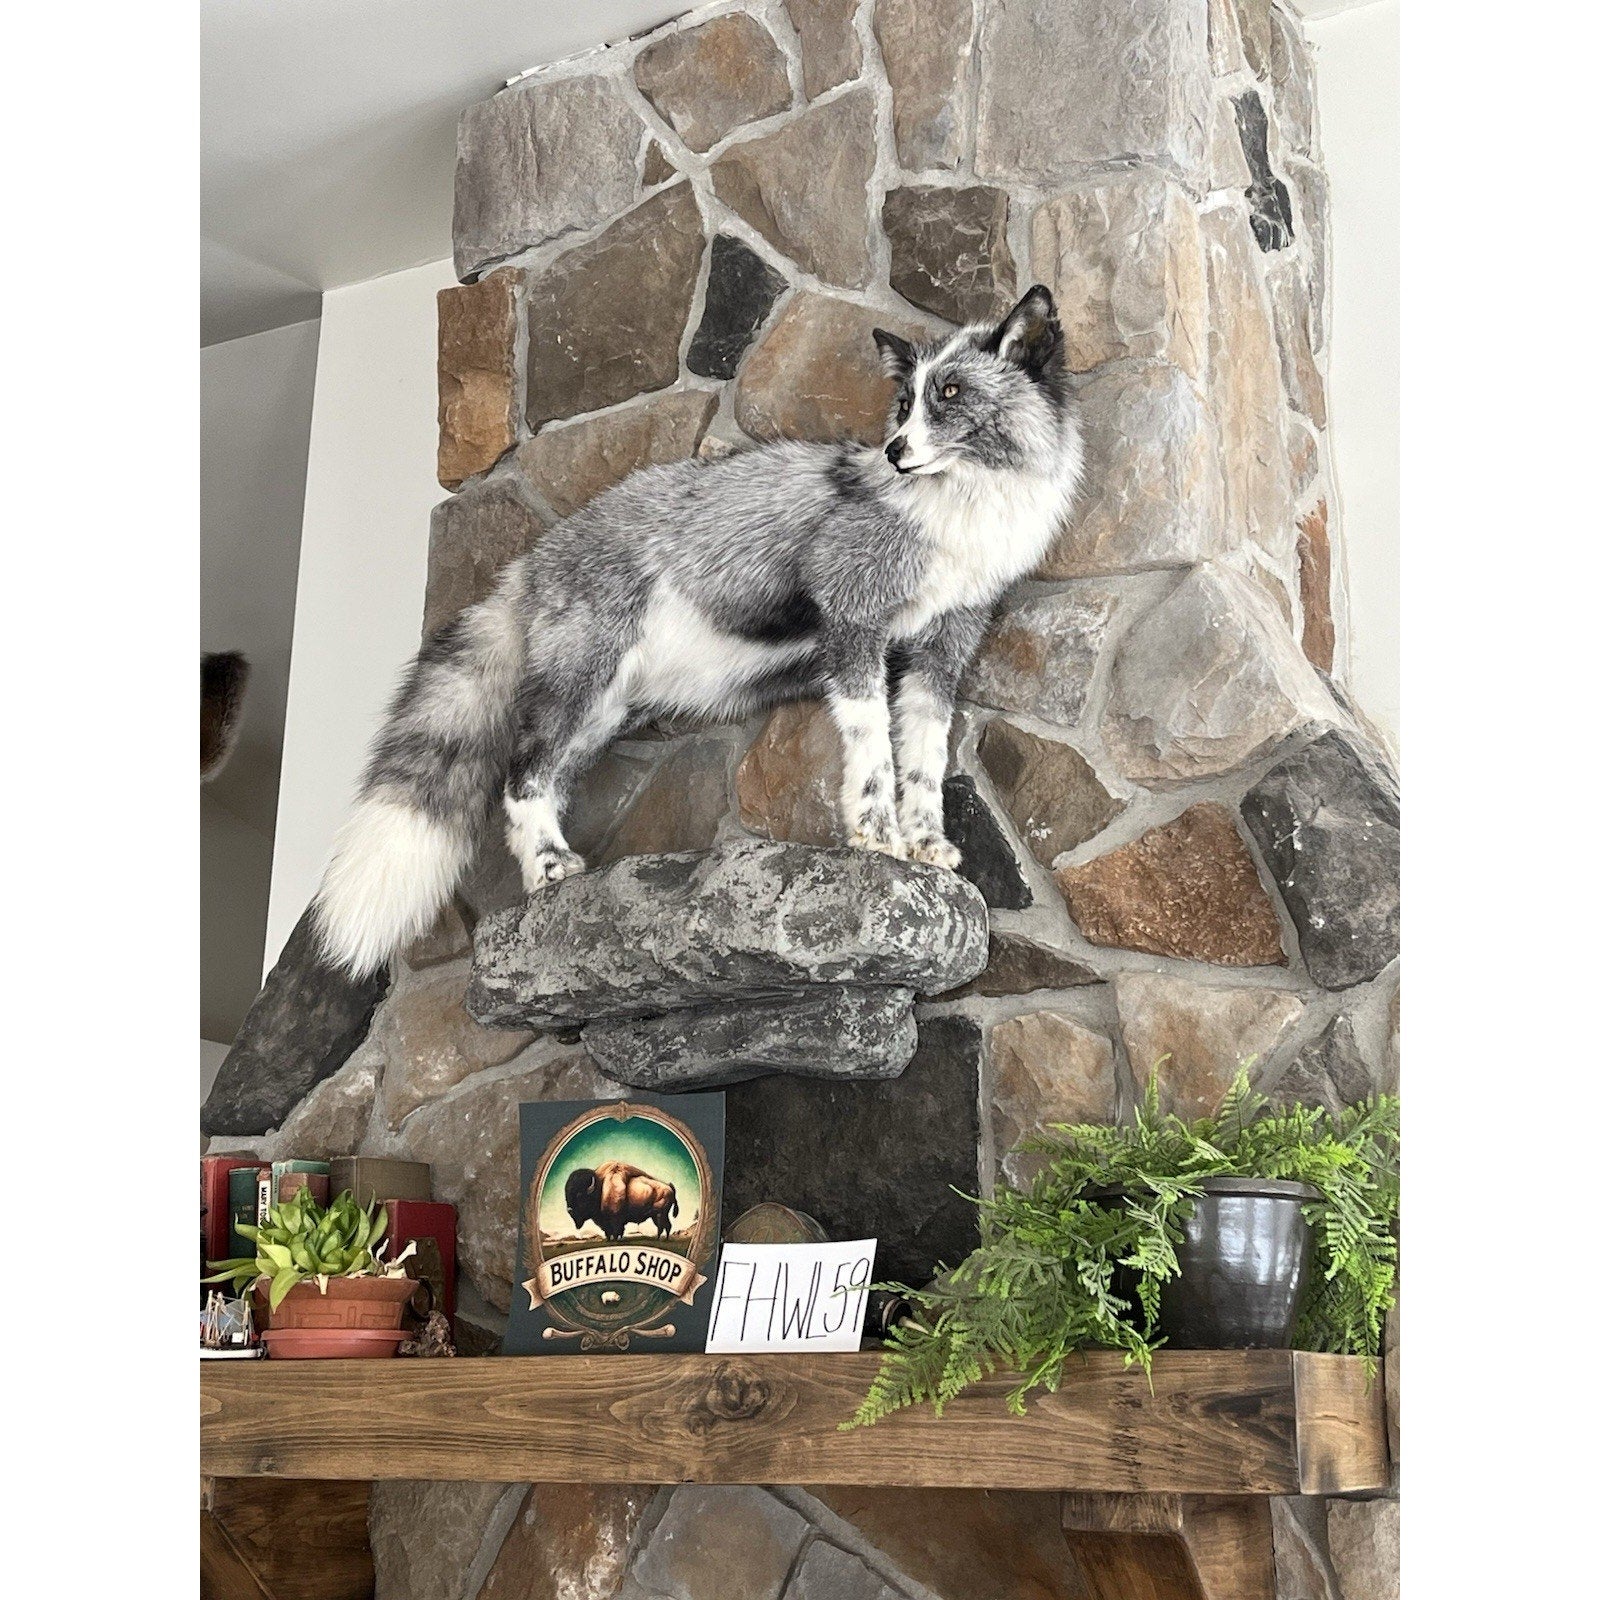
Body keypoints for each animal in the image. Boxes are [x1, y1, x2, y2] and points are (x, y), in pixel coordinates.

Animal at [313, 284, 1084, 978]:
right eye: (906, 404)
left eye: (949, 393)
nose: (894, 450)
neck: (964, 514)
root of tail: (530, 561)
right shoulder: (852, 619)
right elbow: (874, 754)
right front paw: (877, 839)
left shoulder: (940, 653)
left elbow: (922, 761)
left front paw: (927, 847)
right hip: (580, 685)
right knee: (519, 774)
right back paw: (550, 872)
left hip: (604, 713)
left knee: (543, 780)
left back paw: (552, 874)